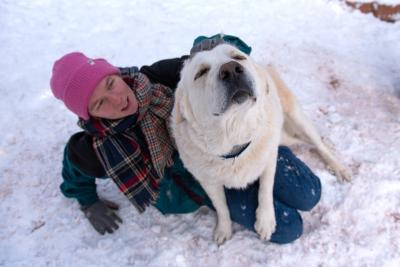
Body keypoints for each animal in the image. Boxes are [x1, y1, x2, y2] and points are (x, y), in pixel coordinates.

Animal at [169, 43, 350, 245]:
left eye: (238, 57)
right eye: (201, 72)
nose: (231, 69)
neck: (235, 137)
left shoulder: (269, 158)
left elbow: (265, 189)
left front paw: (265, 221)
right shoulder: (208, 181)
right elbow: (221, 206)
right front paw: (224, 229)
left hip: (294, 117)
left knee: (317, 143)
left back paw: (339, 167)